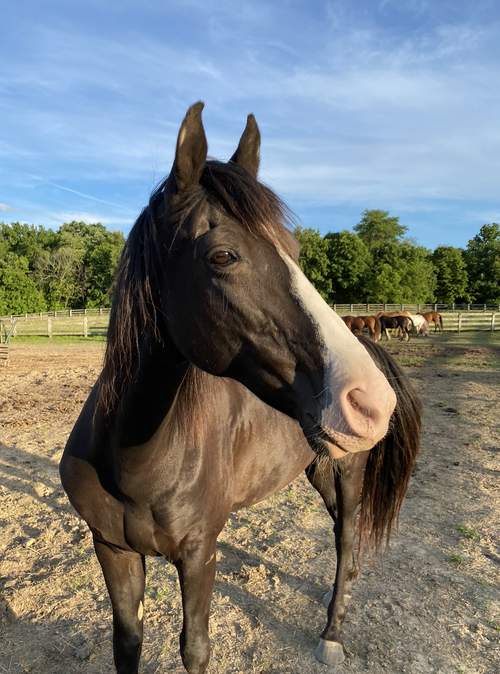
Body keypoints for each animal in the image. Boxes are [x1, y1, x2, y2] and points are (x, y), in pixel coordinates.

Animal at [60, 103, 420, 674]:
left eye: (294, 250)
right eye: (223, 256)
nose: (370, 400)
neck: (135, 459)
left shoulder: (199, 553)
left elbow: (195, 649)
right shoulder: (112, 551)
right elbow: (127, 645)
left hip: (348, 468)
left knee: (345, 535)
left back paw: (332, 631)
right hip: (319, 467)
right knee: (342, 528)